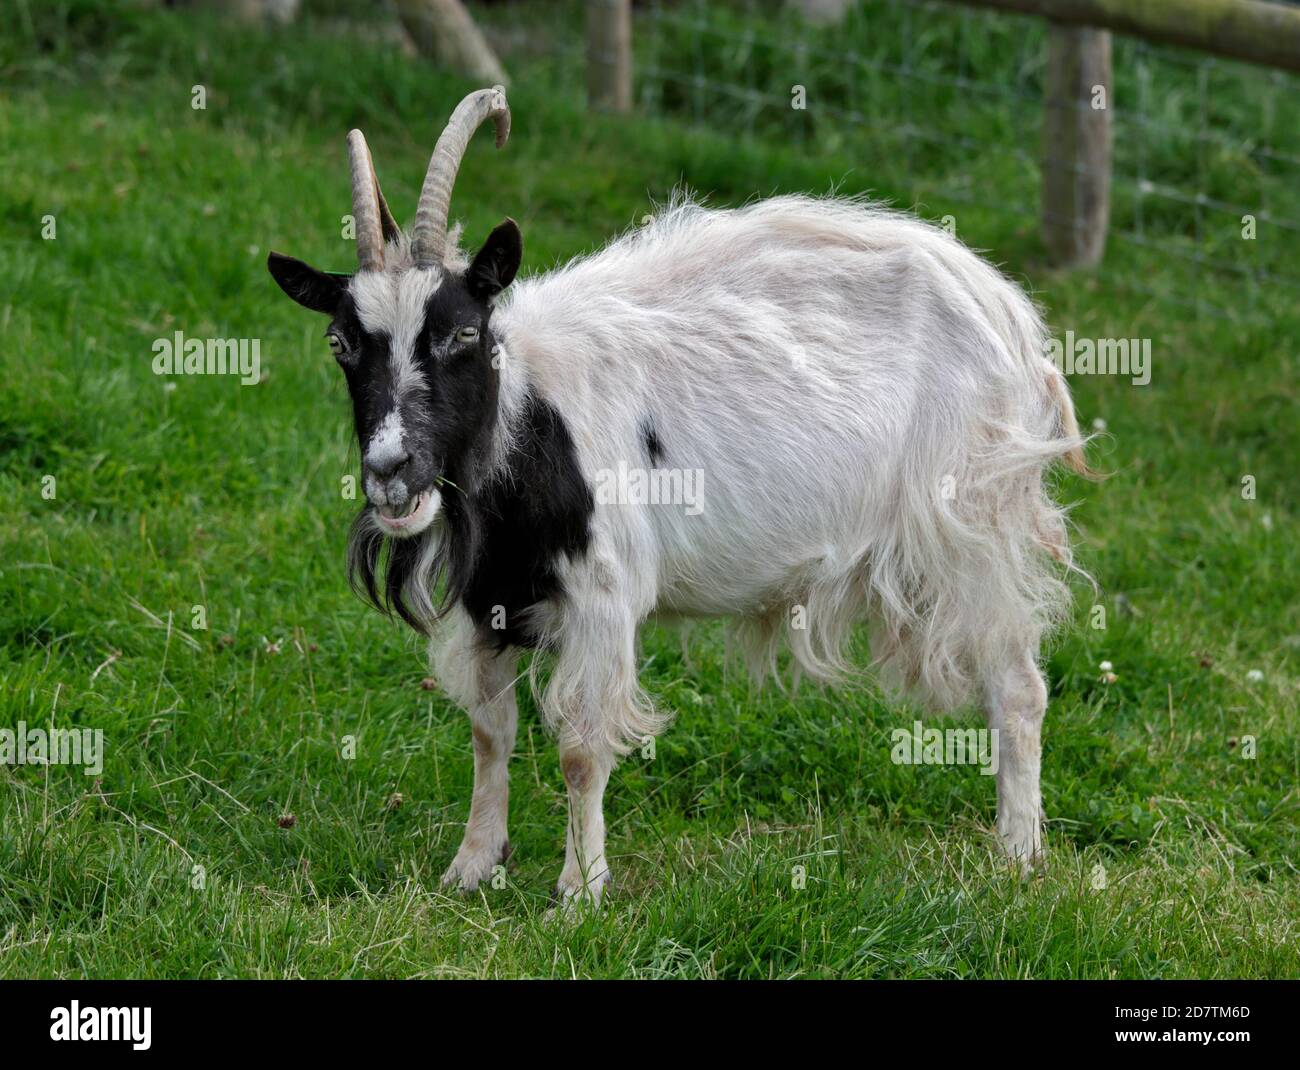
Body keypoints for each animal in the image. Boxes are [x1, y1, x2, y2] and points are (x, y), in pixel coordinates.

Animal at [269, 87, 1092, 904]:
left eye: (463, 336)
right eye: (342, 344)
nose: (391, 469)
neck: (529, 414)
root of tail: (1009, 312)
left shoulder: (602, 595)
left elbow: (581, 748)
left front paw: (581, 891)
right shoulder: (489, 594)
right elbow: (488, 730)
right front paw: (472, 864)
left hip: (973, 523)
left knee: (1018, 688)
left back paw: (1019, 854)